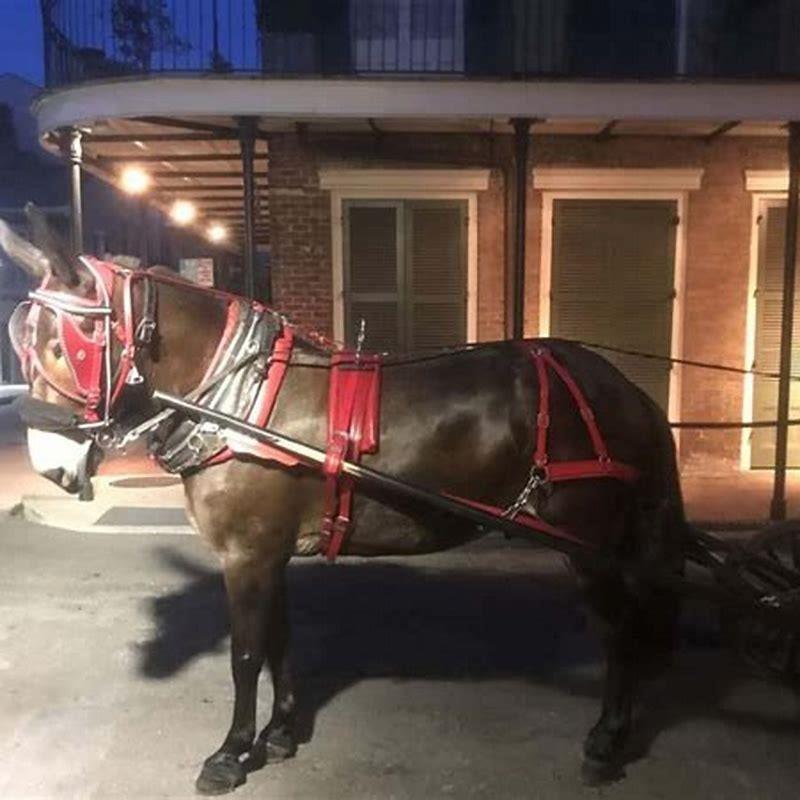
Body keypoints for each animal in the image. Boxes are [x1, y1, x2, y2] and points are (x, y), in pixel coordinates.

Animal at [0, 208, 686, 794]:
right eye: (23, 342)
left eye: (69, 342)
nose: (52, 466)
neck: (241, 403)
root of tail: (624, 389)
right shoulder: (269, 552)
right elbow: (279, 642)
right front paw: (279, 733)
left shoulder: (245, 554)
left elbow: (245, 654)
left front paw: (230, 753)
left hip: (589, 547)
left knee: (619, 630)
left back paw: (606, 741)